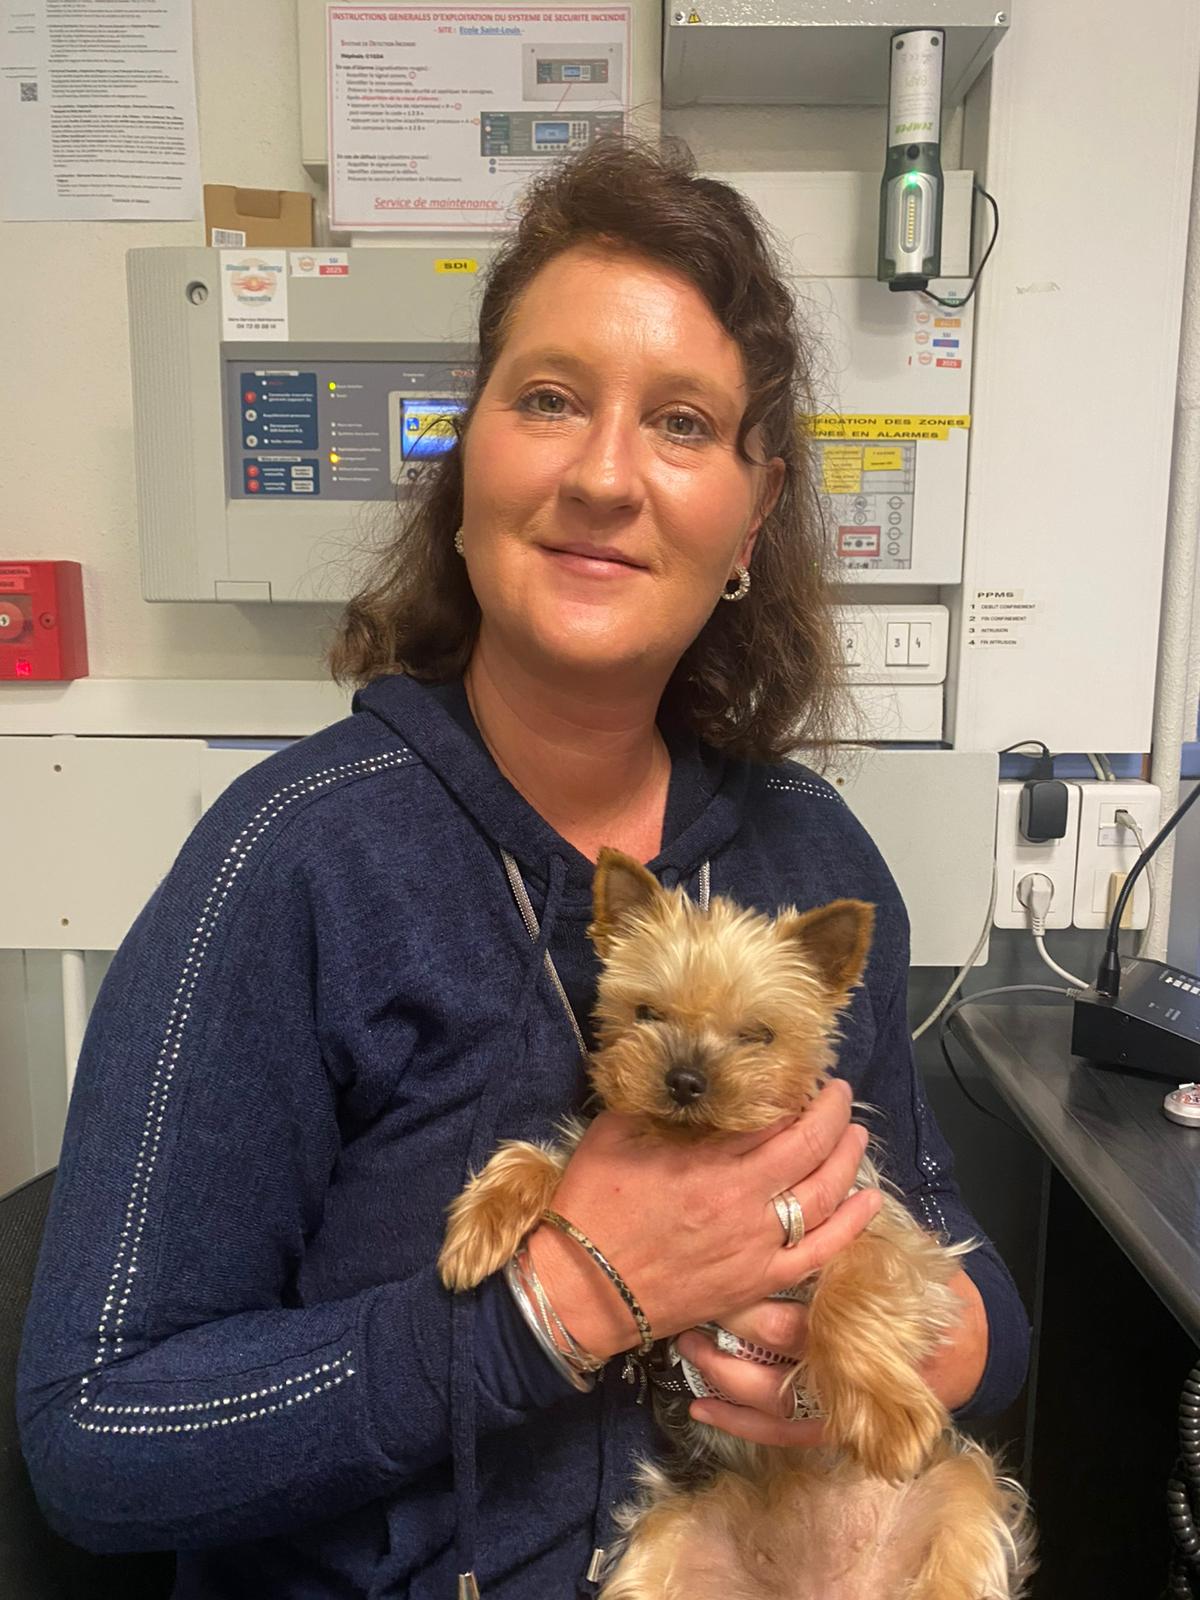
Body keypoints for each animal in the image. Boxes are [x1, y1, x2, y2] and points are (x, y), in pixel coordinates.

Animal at [439, 849, 1034, 1598]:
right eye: (646, 1012)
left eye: (758, 1034)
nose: (685, 1081)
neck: (697, 1145)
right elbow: (542, 1163)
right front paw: (478, 1227)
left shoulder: (890, 1236)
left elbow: (853, 1290)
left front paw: (884, 1415)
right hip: (662, 1546)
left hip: (960, 1500)